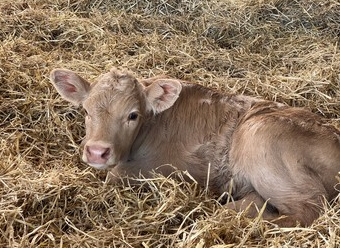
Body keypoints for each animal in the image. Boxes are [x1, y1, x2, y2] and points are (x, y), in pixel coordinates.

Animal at [50, 67, 340, 227]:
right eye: (86, 111)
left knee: (308, 211)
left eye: (132, 115)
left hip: (262, 143)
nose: (97, 152)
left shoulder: (164, 170)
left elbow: (113, 175)